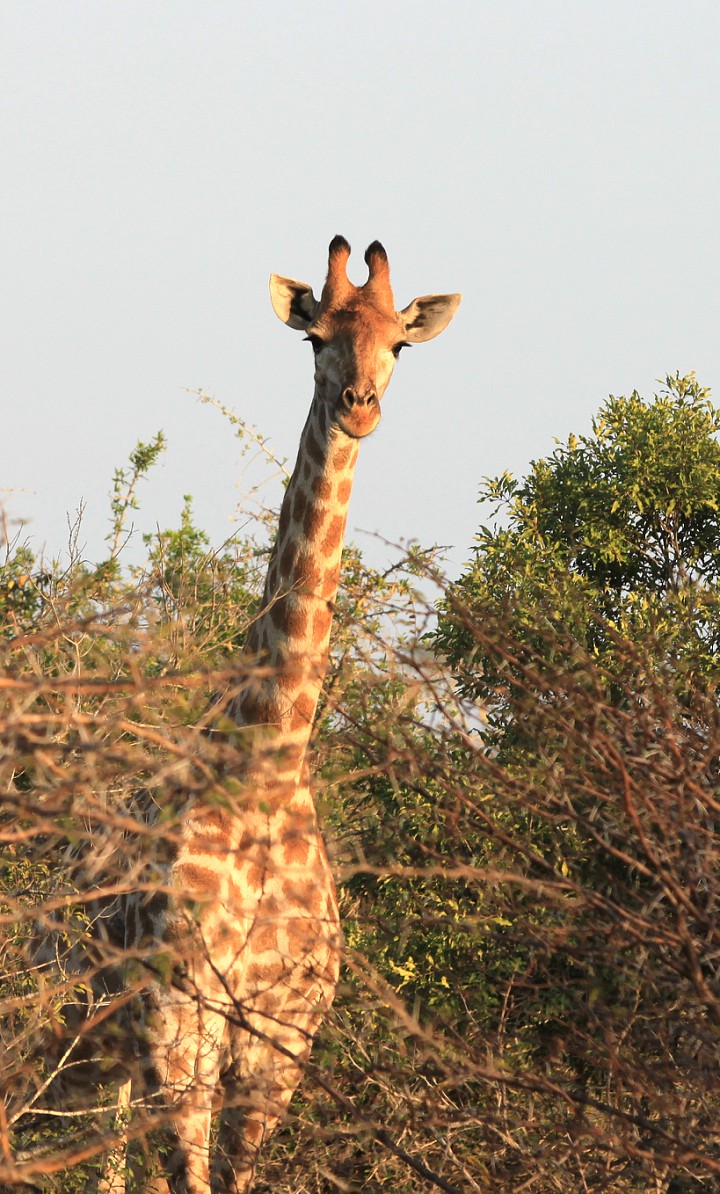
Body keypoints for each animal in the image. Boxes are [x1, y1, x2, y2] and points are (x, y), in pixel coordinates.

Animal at [118, 237, 458, 1189]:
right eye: (315, 338)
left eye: (400, 344)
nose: (360, 408)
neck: (269, 760)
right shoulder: (179, 1015)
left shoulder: (278, 1042)